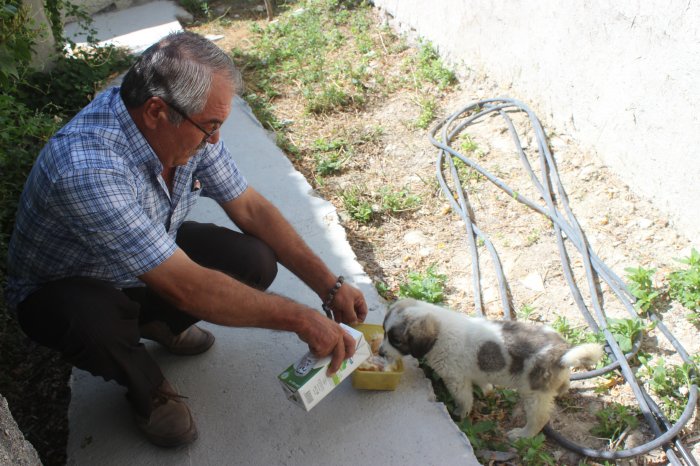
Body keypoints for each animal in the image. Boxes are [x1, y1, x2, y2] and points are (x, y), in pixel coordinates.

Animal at [380, 298, 604, 440]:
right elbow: (483, 381)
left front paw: (459, 414)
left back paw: (522, 435)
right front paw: (488, 391)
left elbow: (464, 399)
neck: (439, 334)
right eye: (383, 332)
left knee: (539, 418)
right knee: (563, 383)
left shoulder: (455, 379)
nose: (381, 353)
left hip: (533, 394)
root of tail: (562, 351)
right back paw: (562, 390)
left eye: (396, 340)